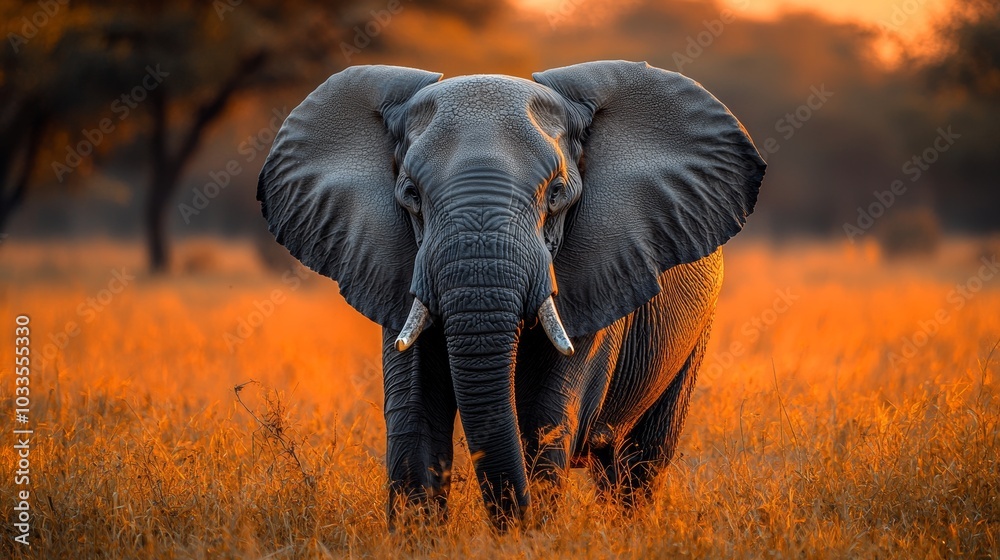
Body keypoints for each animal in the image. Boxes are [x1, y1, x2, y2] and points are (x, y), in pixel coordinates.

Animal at [257, 60, 766, 530]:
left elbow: (545, 417)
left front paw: (530, 536)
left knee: (642, 459)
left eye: (556, 193)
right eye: (411, 195)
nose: (512, 526)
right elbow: (414, 414)